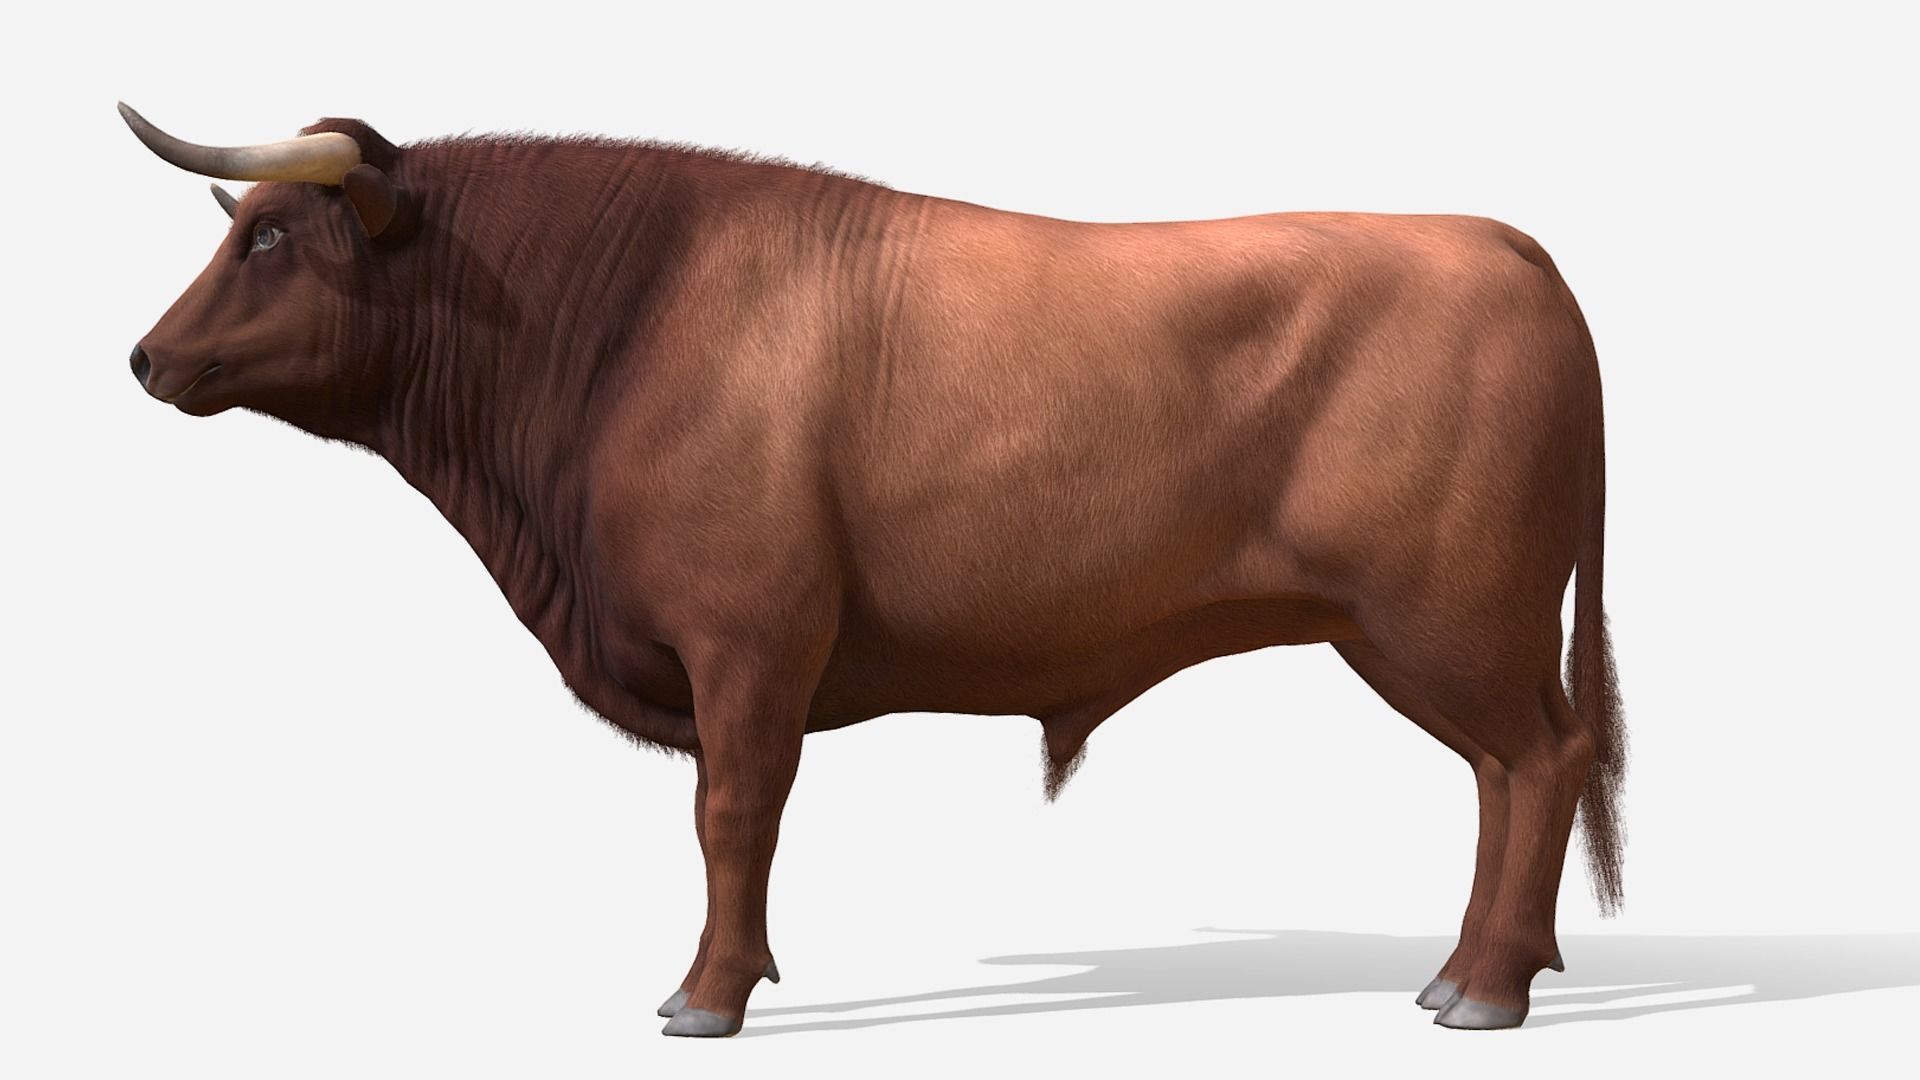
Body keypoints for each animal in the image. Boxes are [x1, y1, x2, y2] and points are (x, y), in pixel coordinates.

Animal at [120, 103, 1625, 1036]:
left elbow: (733, 818)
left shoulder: (748, 647)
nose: (144, 356)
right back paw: (1482, 968)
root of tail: (1498, 241)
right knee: (1511, 778)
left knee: (1538, 763)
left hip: (1442, 619)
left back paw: (1486, 988)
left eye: (268, 235)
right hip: (1461, 630)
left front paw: (708, 994)